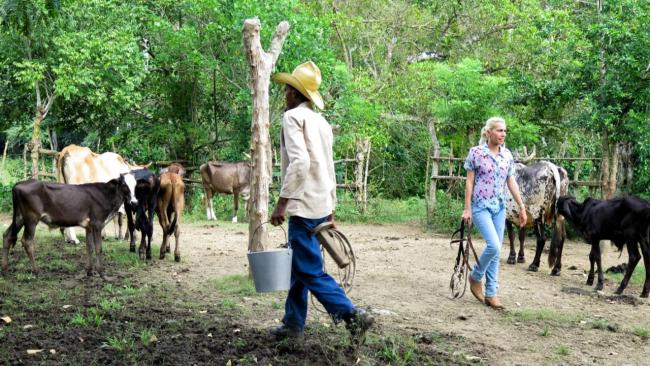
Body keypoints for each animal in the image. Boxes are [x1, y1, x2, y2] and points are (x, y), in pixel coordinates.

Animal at [2, 174, 137, 278]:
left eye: (135, 185)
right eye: (124, 184)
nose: (134, 202)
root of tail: (19, 184)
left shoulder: (89, 226)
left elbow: (89, 247)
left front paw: (90, 271)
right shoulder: (97, 223)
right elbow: (99, 248)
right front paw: (102, 274)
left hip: (19, 217)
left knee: (7, 235)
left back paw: (5, 269)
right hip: (31, 219)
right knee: (27, 241)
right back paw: (36, 271)